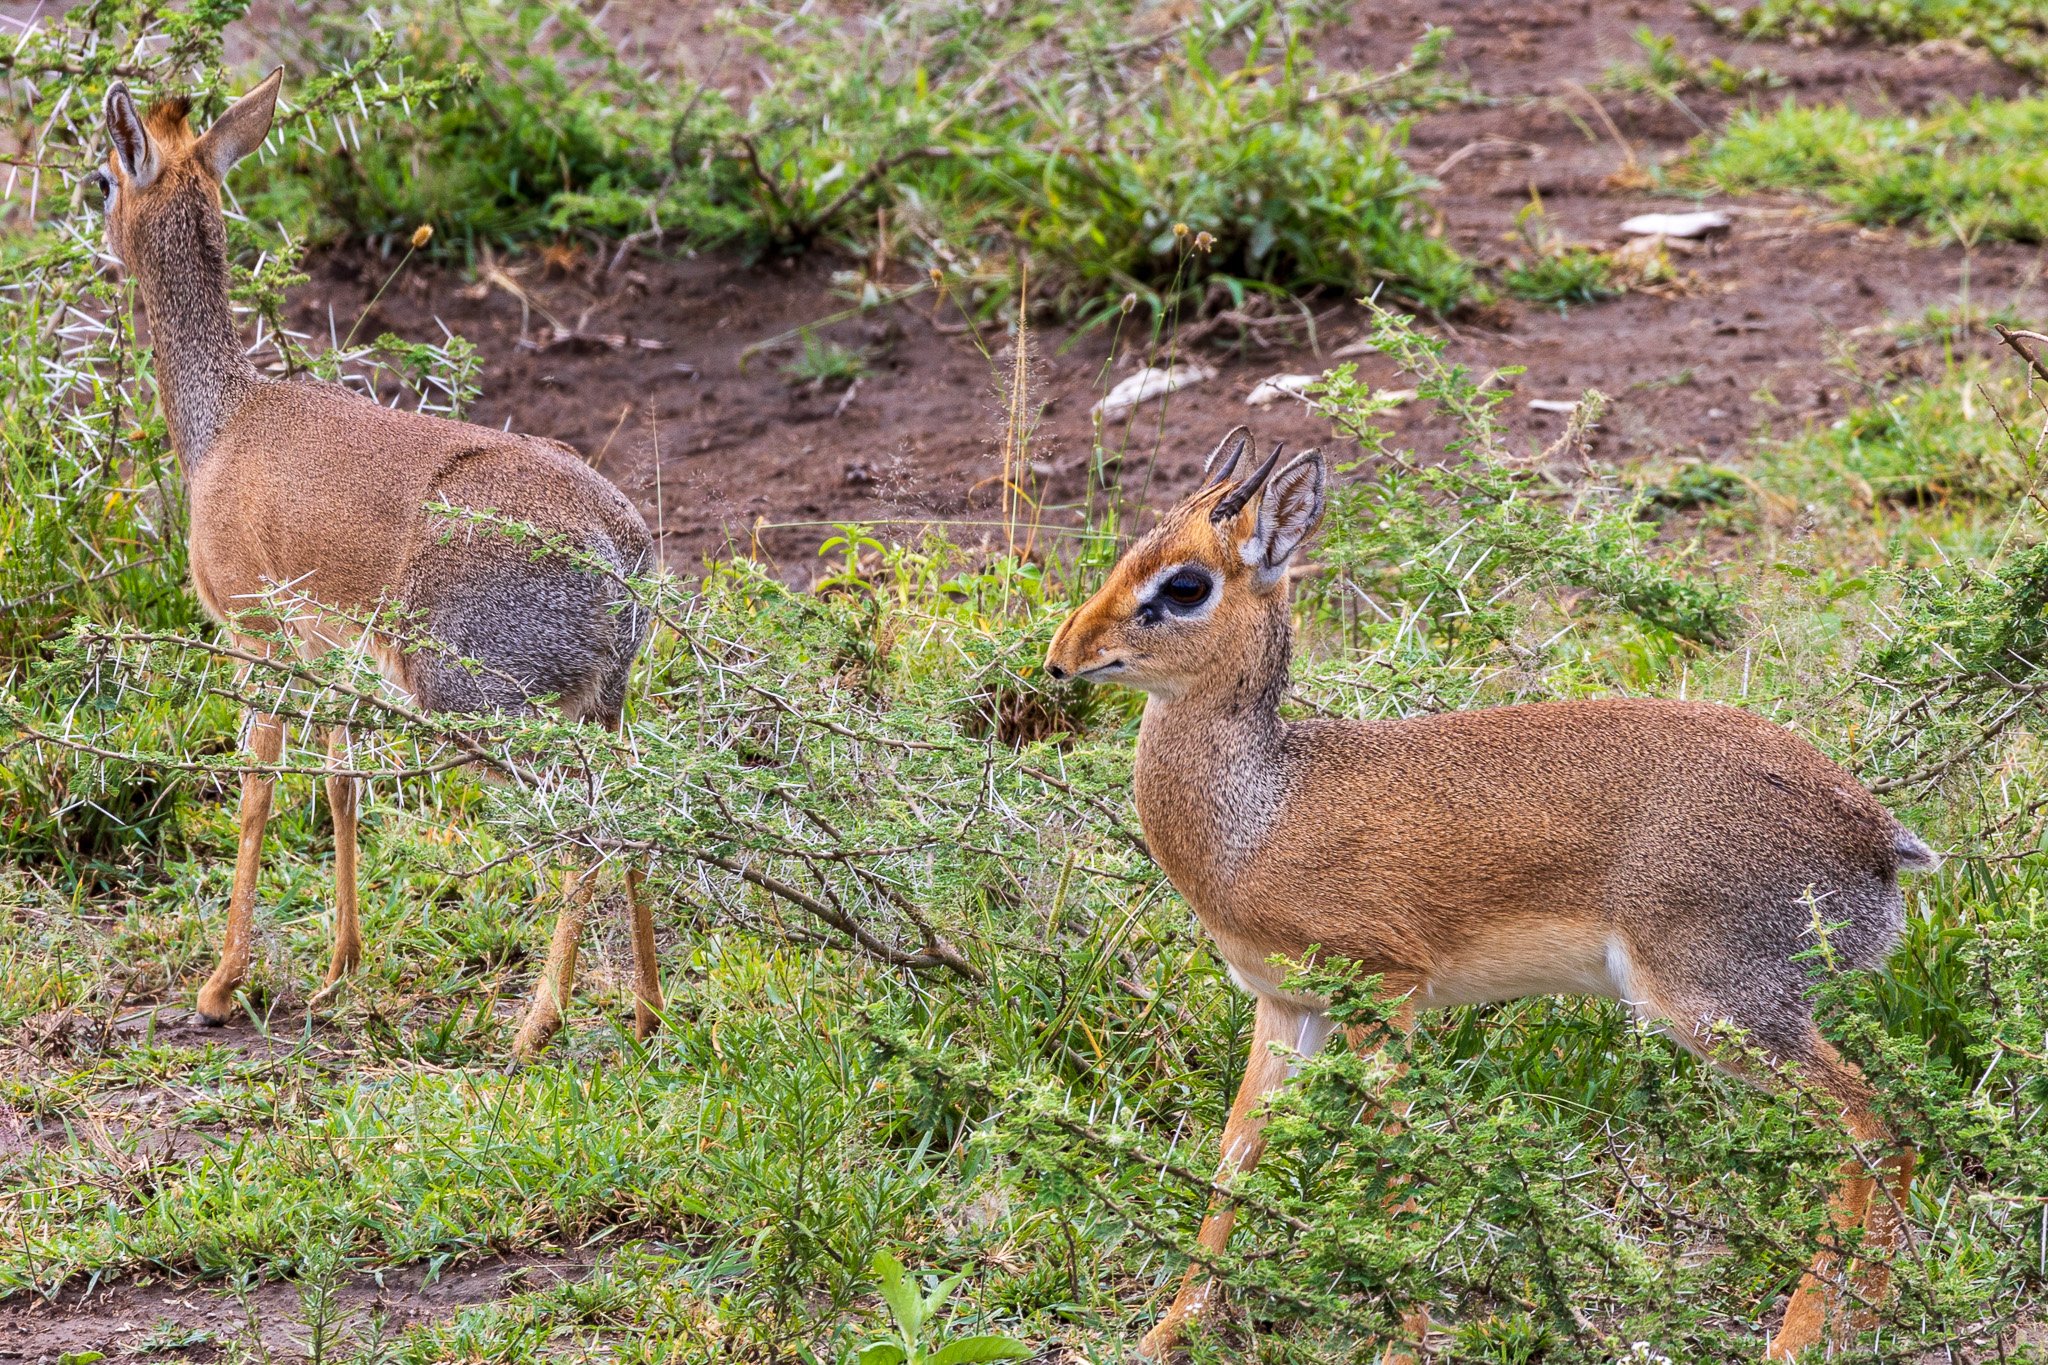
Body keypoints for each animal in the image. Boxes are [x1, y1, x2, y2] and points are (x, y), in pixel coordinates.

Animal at [97, 72, 655, 1055]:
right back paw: (648, 1009)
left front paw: (220, 984)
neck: (221, 426)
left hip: (479, 700)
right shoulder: (329, 650)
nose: (97, 239)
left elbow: (256, 789)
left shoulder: (254, 633)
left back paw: (536, 1025)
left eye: (101, 179)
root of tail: (616, 543)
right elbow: (341, 784)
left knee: (586, 824)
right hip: (600, 707)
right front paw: (340, 970)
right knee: (649, 809)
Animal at [1048, 427, 1941, 1358]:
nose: (1062, 657)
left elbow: (1391, 1160)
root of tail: (1880, 838)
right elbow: (1232, 1158)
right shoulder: (1286, 1007)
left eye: (1186, 583)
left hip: (1714, 1004)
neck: (1262, 815)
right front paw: (1166, 1331)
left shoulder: (1388, 993)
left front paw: (1403, 1340)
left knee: (1877, 1124)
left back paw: (1804, 1335)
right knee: (1891, 1128)